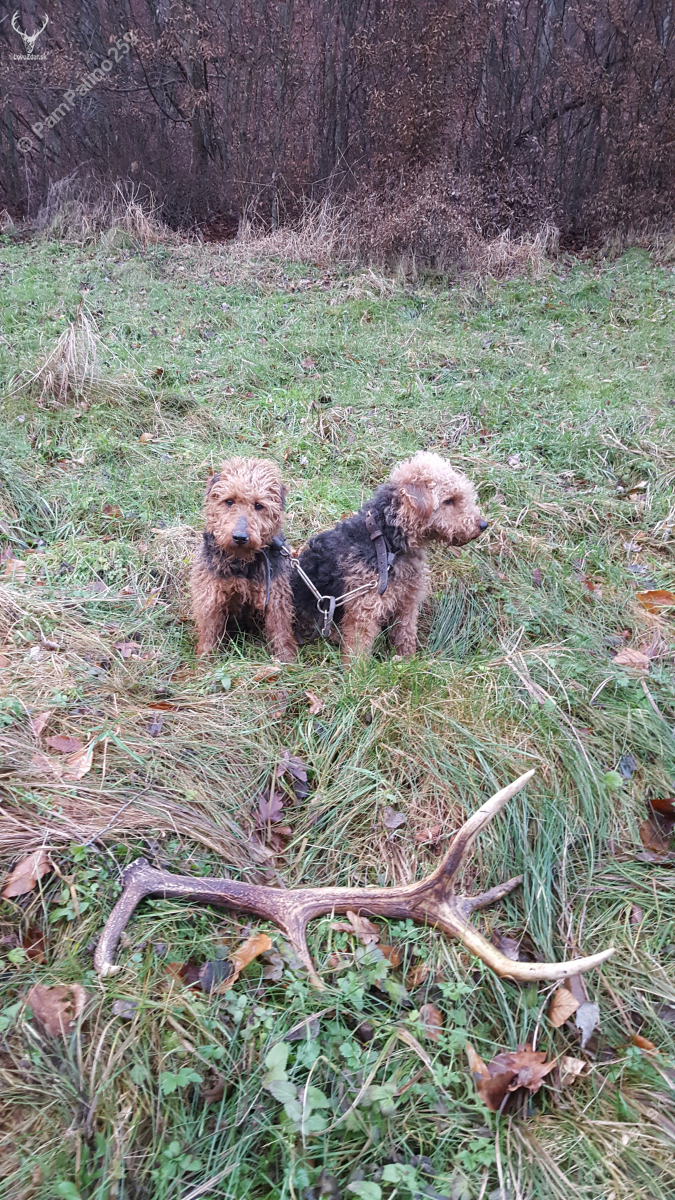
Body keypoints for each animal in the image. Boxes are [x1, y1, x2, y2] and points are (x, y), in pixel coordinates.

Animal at [190, 457, 297, 662]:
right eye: (229, 501)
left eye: (258, 505)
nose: (240, 537)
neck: (241, 564)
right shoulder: (211, 598)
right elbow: (209, 635)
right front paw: (205, 664)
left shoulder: (275, 598)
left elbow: (281, 633)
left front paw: (287, 662)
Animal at [291, 451, 487, 662]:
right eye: (449, 500)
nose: (483, 525)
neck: (387, 542)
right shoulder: (365, 610)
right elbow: (357, 649)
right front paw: (356, 670)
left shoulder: (407, 602)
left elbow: (405, 635)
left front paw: (407, 661)